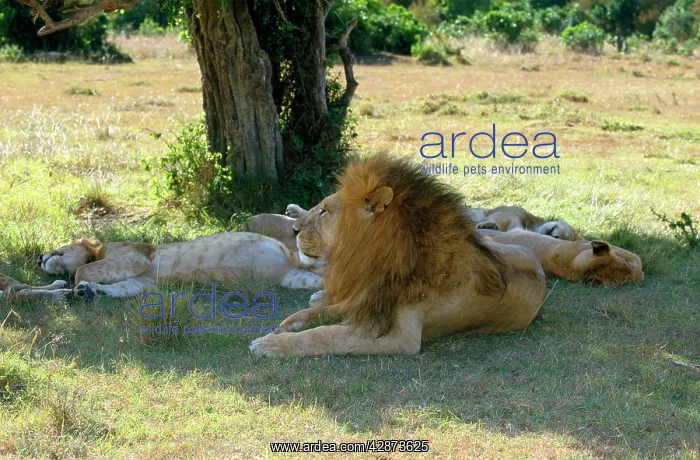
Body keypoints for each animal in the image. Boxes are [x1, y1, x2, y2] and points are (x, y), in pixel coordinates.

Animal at [249, 153, 547, 357]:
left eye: (324, 211)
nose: (294, 229)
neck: (368, 261)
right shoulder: (363, 298)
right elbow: (315, 312)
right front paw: (288, 324)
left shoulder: (402, 338)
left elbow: (324, 335)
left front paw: (270, 343)